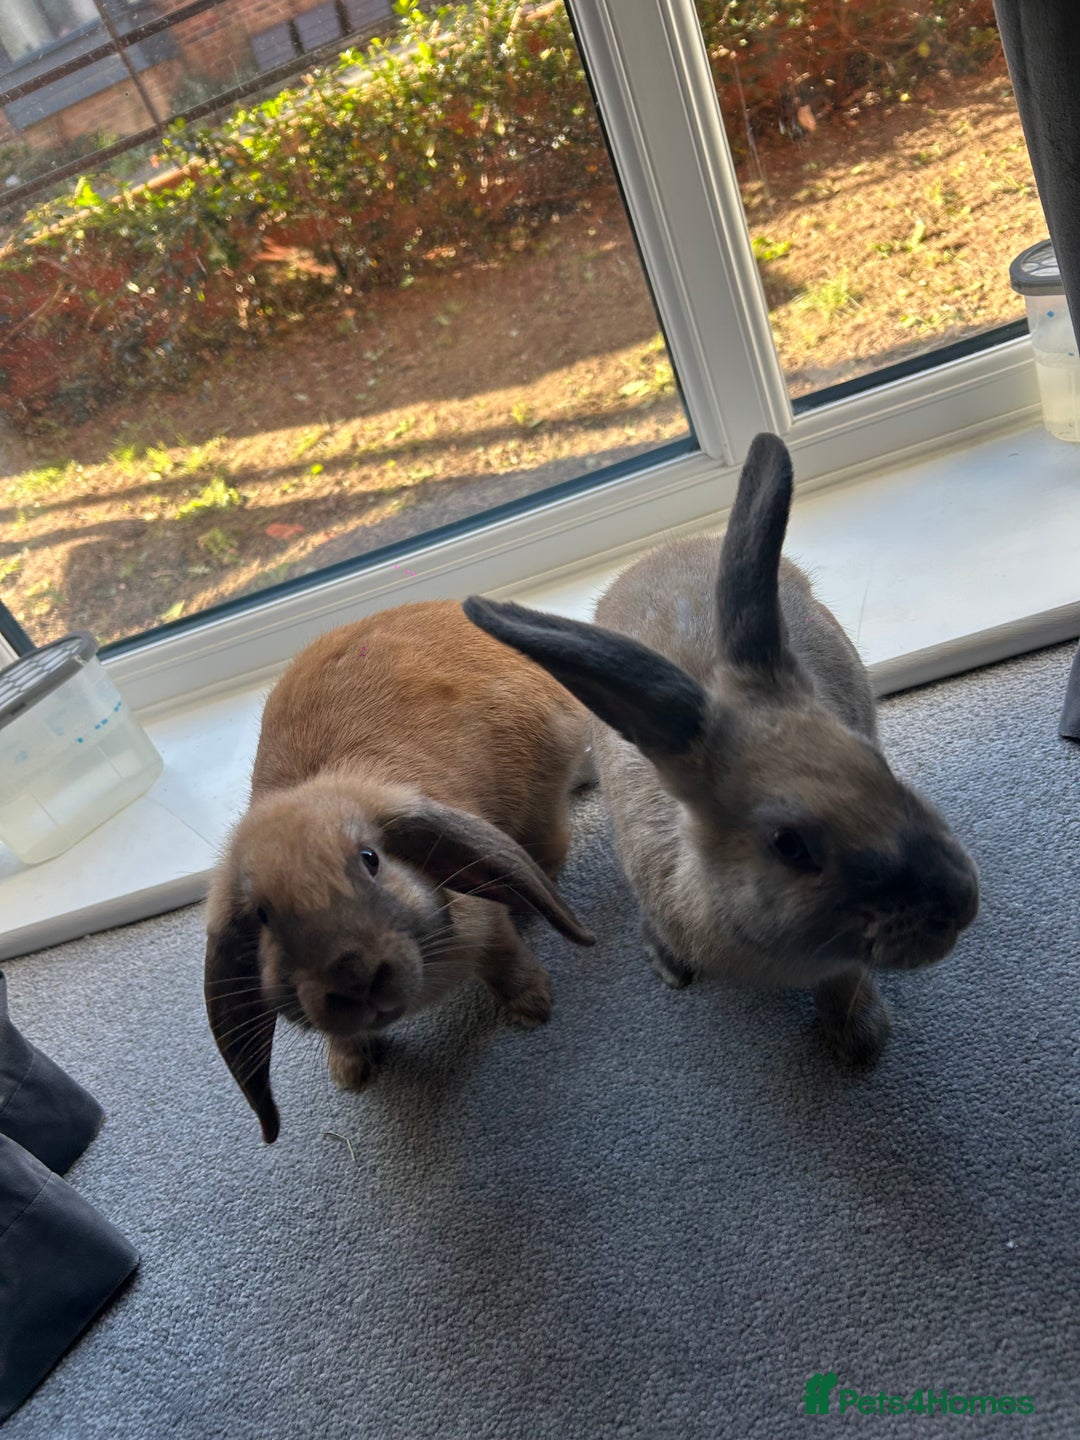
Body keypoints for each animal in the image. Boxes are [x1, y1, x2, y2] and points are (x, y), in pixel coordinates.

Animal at [205, 600, 595, 1143]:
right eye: (261, 915)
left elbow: (502, 955)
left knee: (553, 845)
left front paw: (532, 1006)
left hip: (540, 797)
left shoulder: (485, 921)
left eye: (371, 860)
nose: (353, 977)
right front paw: (349, 1071)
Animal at [464, 432, 979, 1064]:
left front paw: (858, 1037)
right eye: (789, 845)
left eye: (876, 764)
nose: (960, 901)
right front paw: (669, 967)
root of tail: (667, 549)